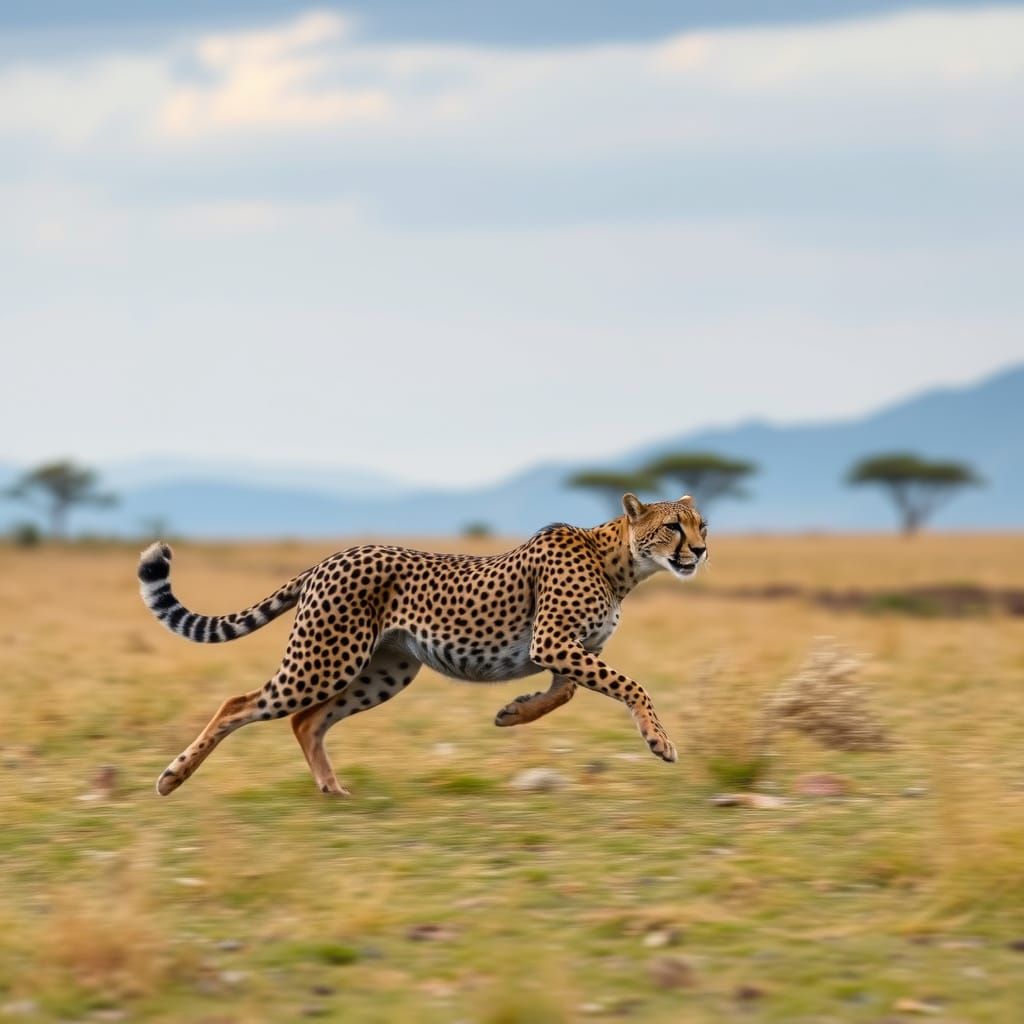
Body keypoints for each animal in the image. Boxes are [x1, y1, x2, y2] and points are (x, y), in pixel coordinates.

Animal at [138, 492, 708, 796]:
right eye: (672, 527)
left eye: (703, 525)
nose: (701, 551)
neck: (618, 561)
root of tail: (330, 557)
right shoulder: (551, 642)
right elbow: (631, 685)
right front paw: (659, 741)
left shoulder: (568, 650)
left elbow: (563, 693)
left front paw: (514, 712)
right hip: (325, 661)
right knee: (239, 703)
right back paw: (172, 778)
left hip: (384, 671)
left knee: (307, 721)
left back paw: (333, 790)